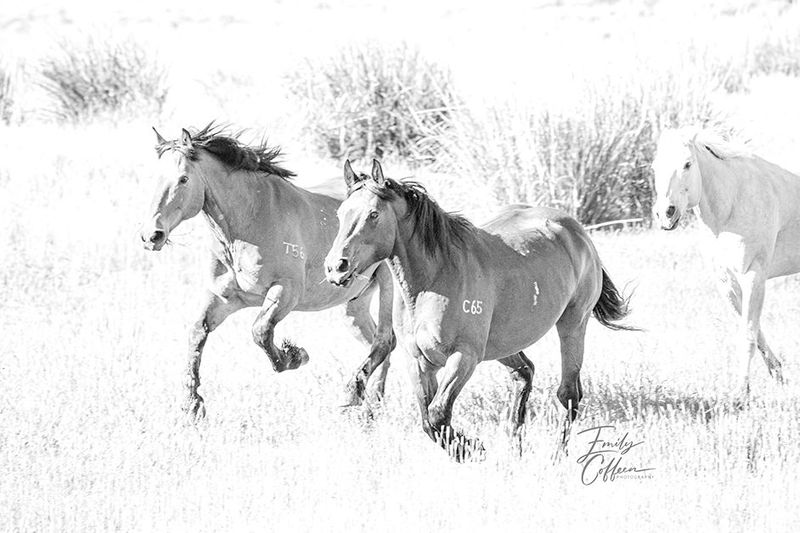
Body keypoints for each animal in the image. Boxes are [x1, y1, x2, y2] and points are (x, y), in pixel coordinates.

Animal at [139, 124, 396, 419]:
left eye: (183, 179)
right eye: (156, 178)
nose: (151, 236)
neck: (251, 220)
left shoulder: (285, 292)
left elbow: (260, 331)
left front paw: (295, 356)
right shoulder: (225, 299)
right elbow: (197, 332)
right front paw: (192, 403)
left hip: (387, 286)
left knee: (385, 341)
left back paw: (370, 402)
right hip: (353, 306)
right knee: (375, 343)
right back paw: (368, 404)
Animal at [323, 160, 634, 459]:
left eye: (373, 214)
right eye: (340, 214)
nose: (336, 267)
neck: (433, 281)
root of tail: (576, 230)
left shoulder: (465, 356)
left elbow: (437, 415)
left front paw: (472, 449)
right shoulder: (419, 362)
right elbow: (428, 420)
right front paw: (469, 447)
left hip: (573, 324)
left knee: (568, 393)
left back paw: (557, 457)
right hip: (504, 344)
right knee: (524, 373)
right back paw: (515, 451)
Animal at [652, 126, 796, 395]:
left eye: (687, 164)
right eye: (655, 166)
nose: (666, 213)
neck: (734, 202)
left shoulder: (753, 277)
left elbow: (748, 334)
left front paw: (742, 392)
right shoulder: (727, 282)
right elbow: (755, 332)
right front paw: (778, 375)